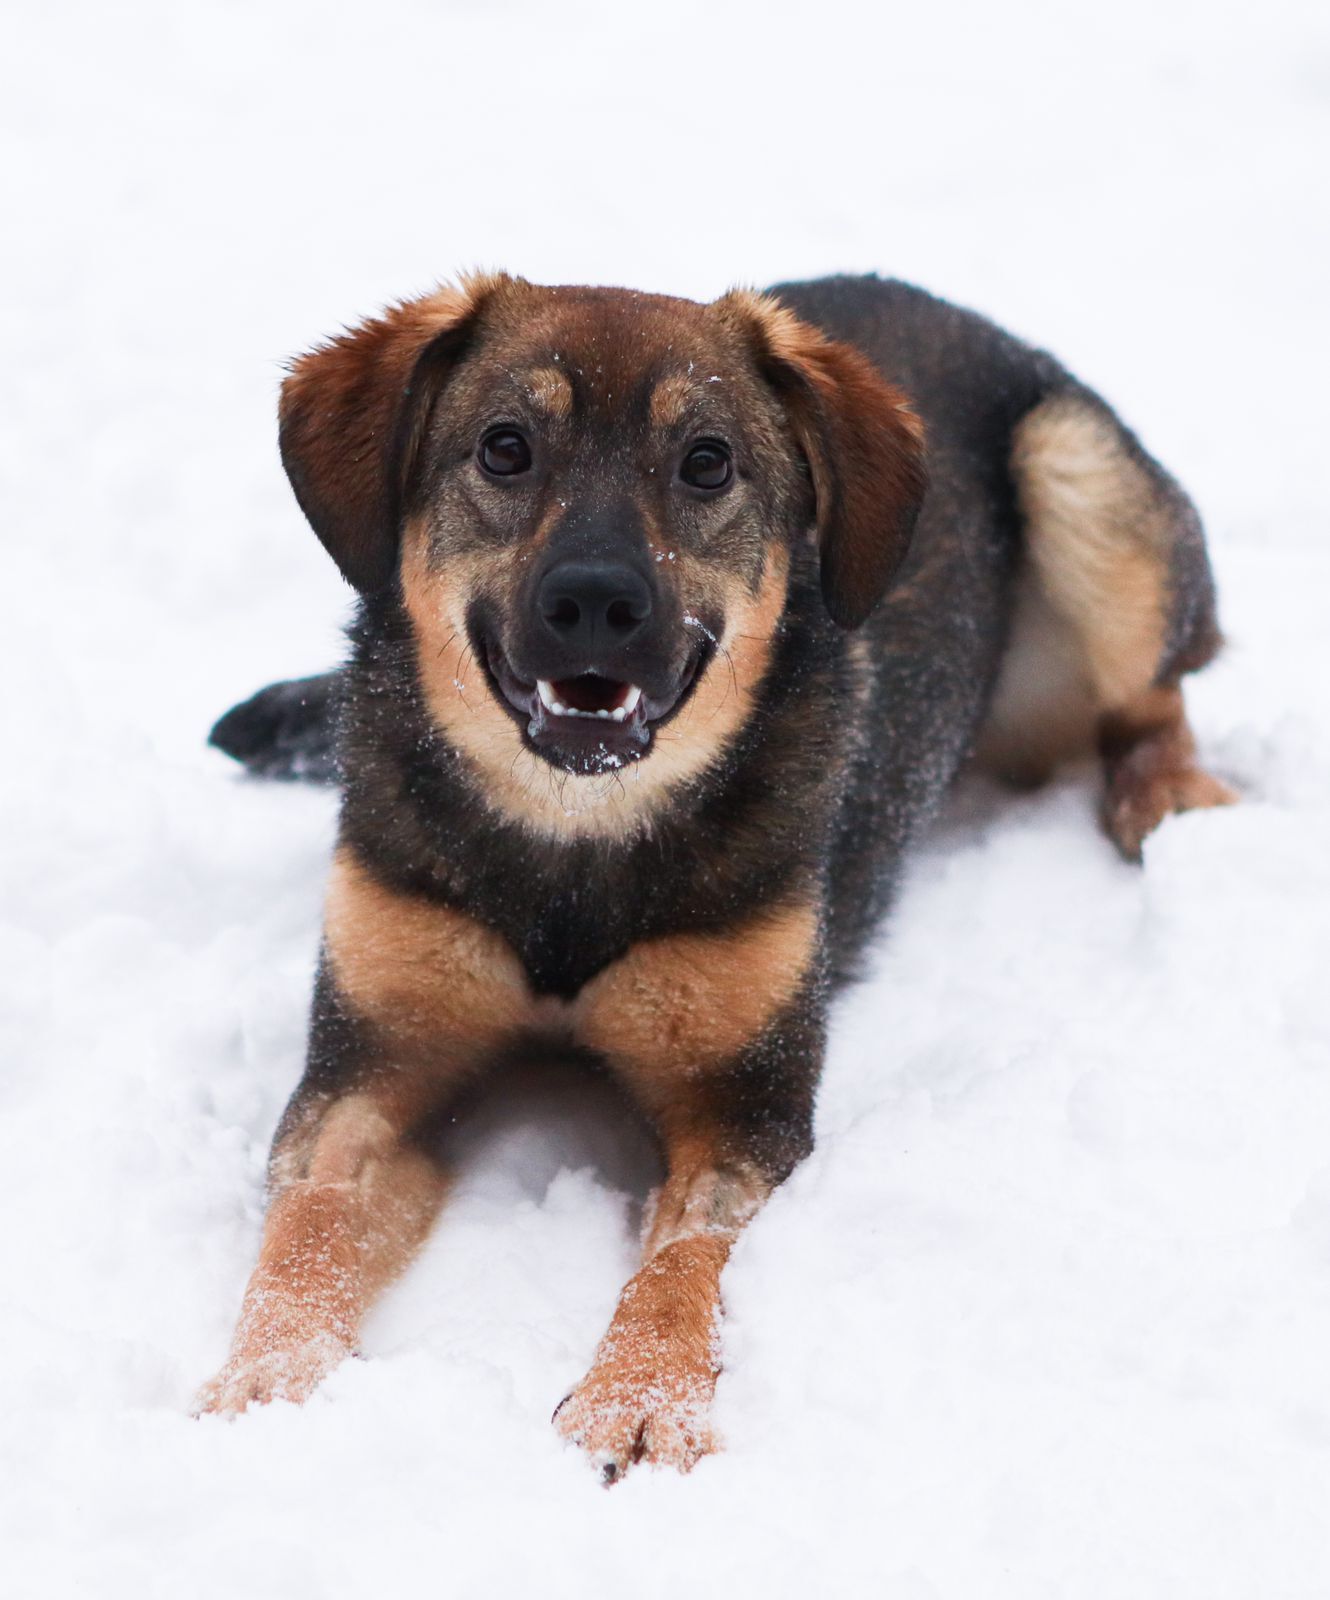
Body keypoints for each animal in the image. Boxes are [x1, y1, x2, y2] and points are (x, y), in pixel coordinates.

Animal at [197, 272, 1235, 1472]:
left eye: (706, 462)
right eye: (505, 447)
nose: (595, 601)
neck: (575, 845)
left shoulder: (743, 1096)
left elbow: (688, 1253)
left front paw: (638, 1398)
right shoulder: (374, 1059)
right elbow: (306, 1226)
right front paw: (264, 1378)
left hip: (1082, 480)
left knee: (1150, 698)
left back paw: (1170, 799)